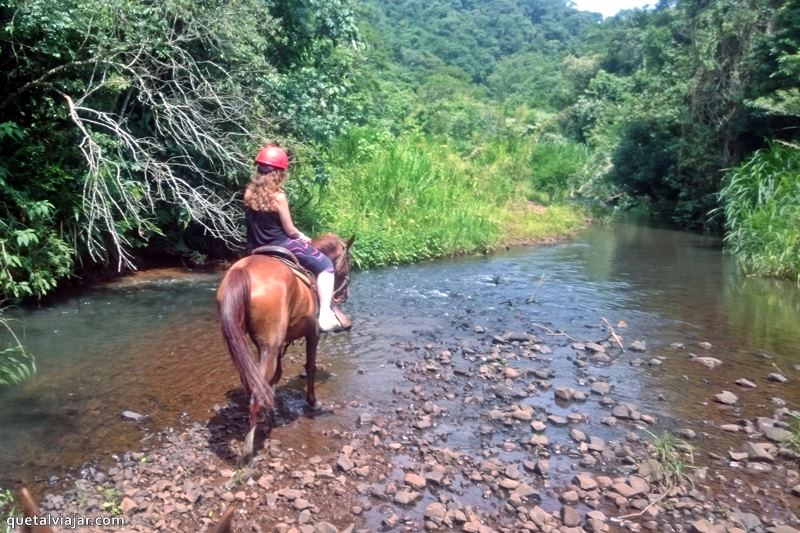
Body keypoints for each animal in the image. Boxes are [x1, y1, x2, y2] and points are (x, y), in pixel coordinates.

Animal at [219, 235, 356, 456]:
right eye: (348, 264)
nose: (345, 294)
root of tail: (243, 270)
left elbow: (276, 375)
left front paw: (272, 403)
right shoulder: (312, 334)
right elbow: (310, 367)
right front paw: (313, 403)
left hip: (248, 342)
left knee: (252, 381)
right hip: (270, 347)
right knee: (256, 392)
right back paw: (248, 448)